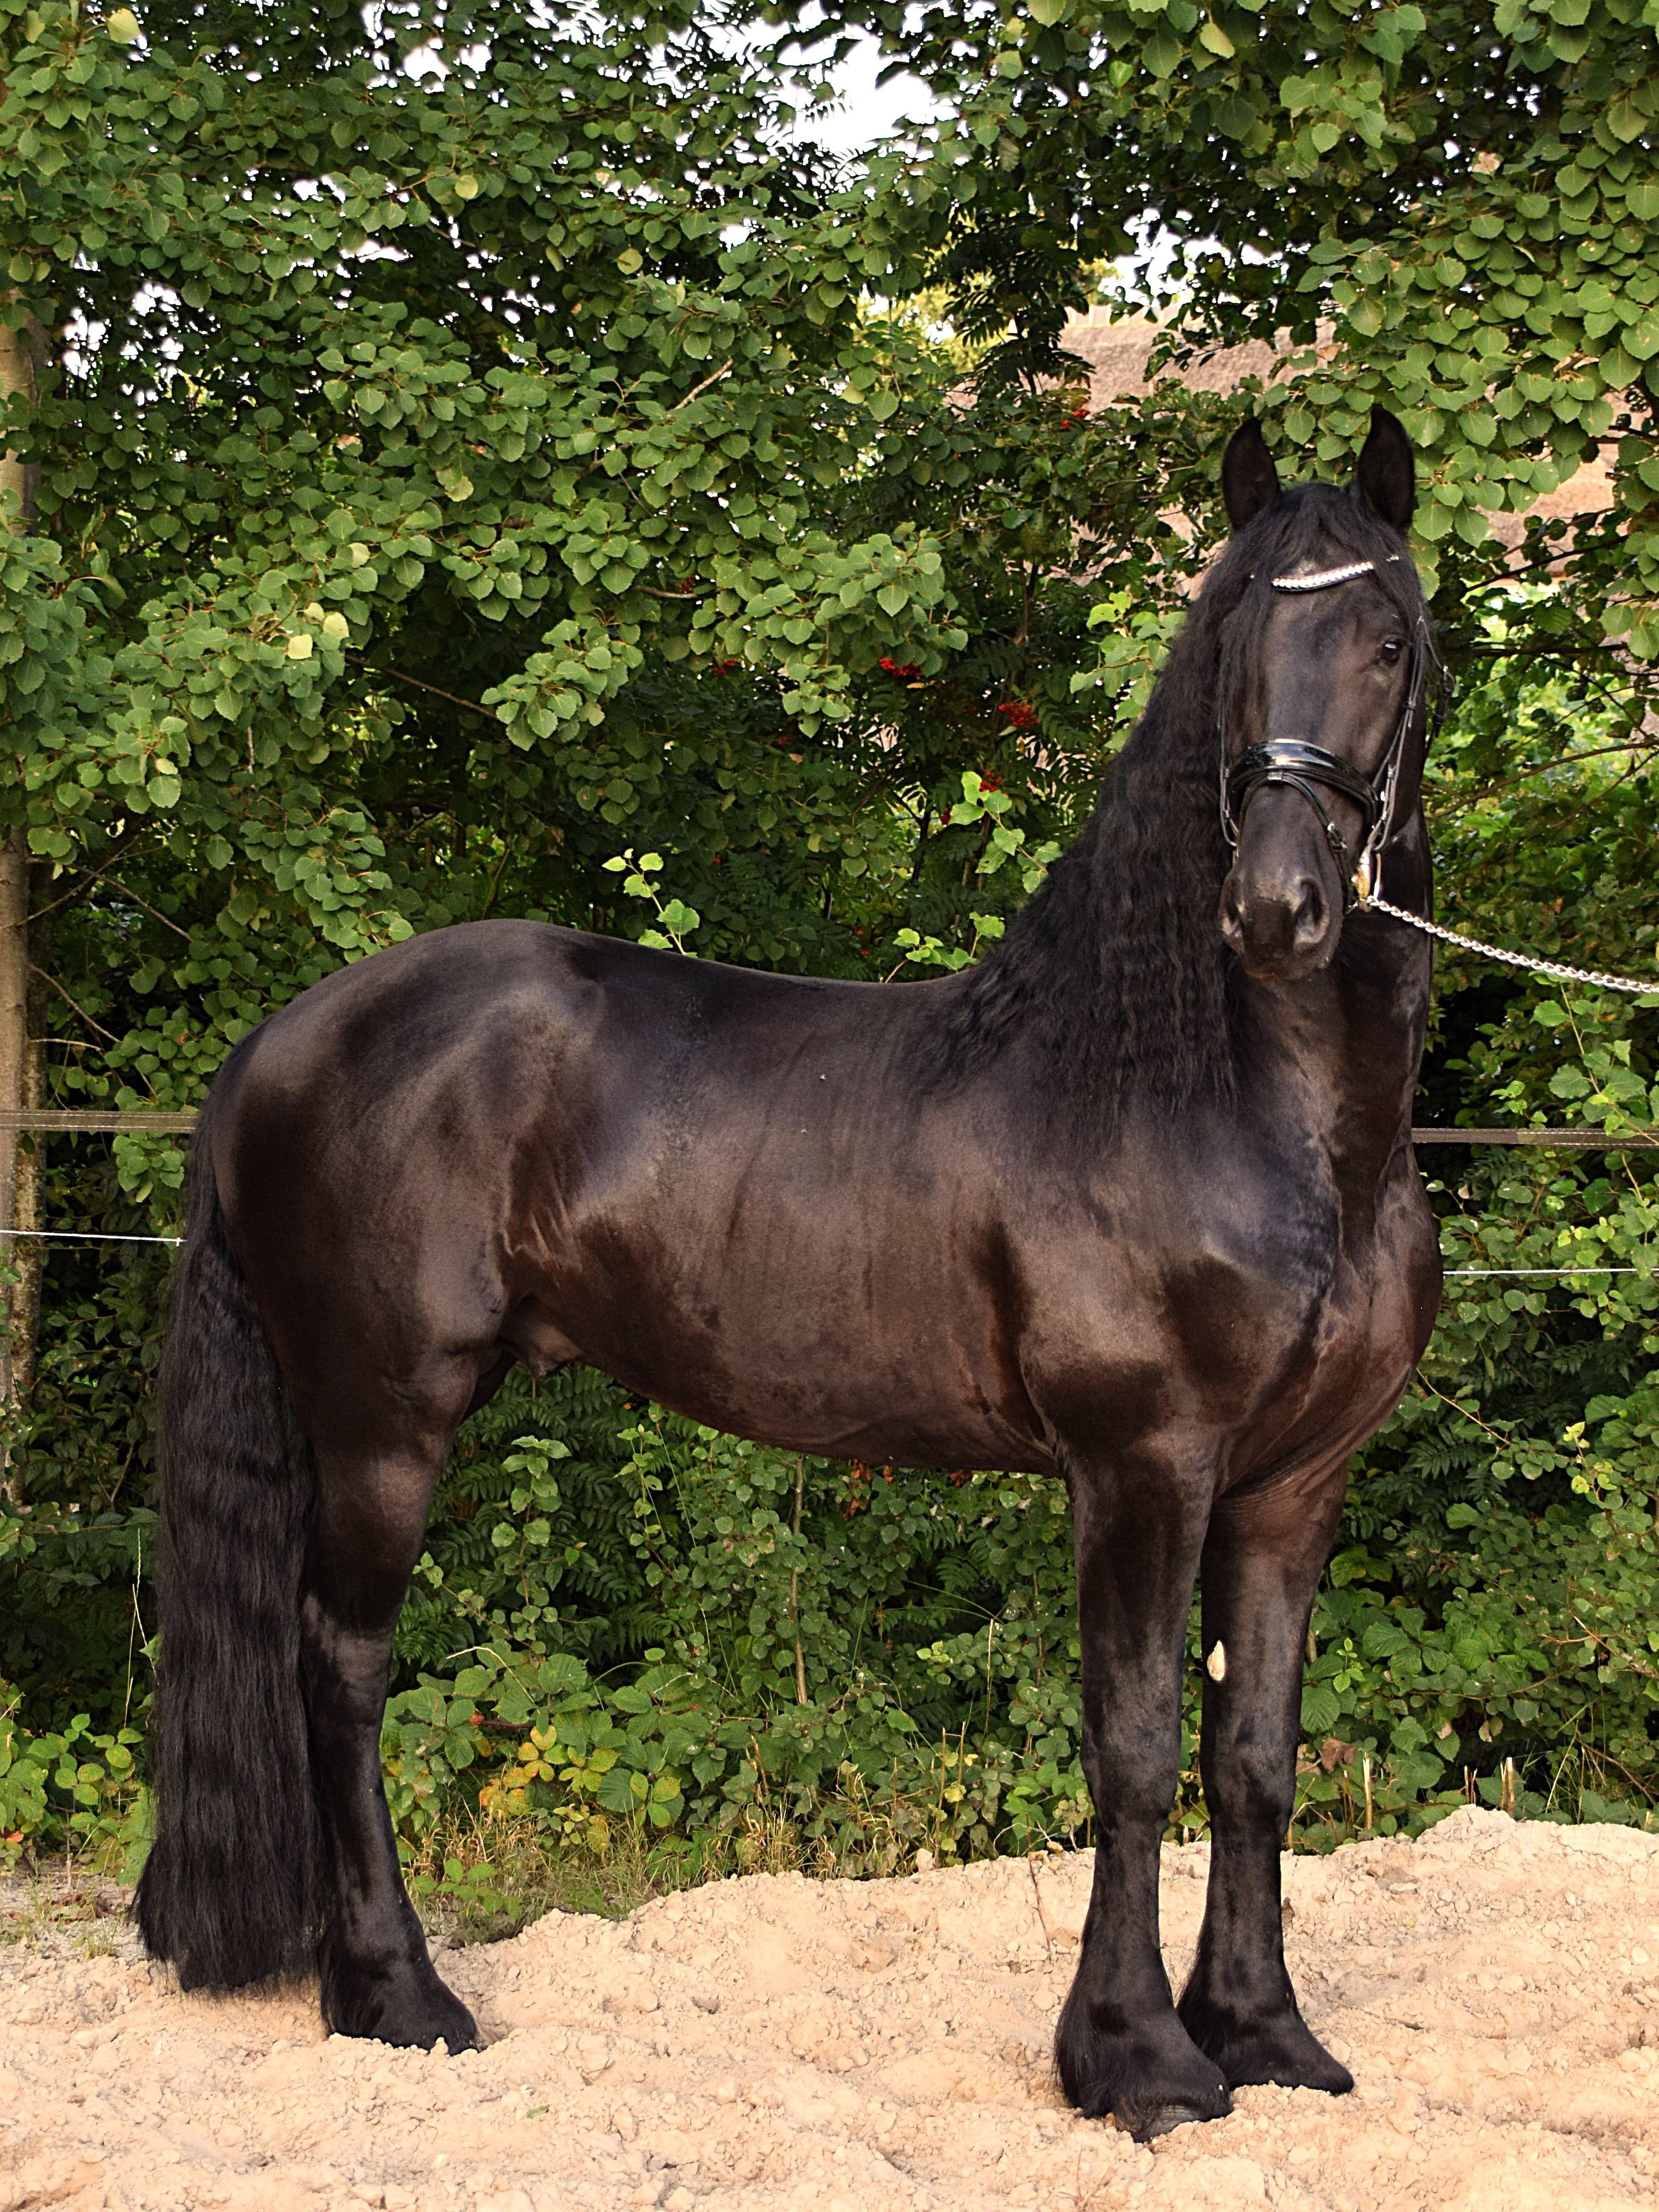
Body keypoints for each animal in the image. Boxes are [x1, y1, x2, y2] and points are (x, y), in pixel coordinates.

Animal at [134, 406, 1442, 2142]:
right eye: (1235, 647)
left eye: (1385, 642)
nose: (1278, 908)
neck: (1236, 1103)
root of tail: (281, 1038)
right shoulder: (1143, 1465)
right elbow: (1135, 1746)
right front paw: (1139, 2061)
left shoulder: (1295, 1487)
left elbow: (1255, 1757)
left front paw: (1265, 2033)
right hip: (379, 1427)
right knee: (338, 1675)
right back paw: (400, 1999)